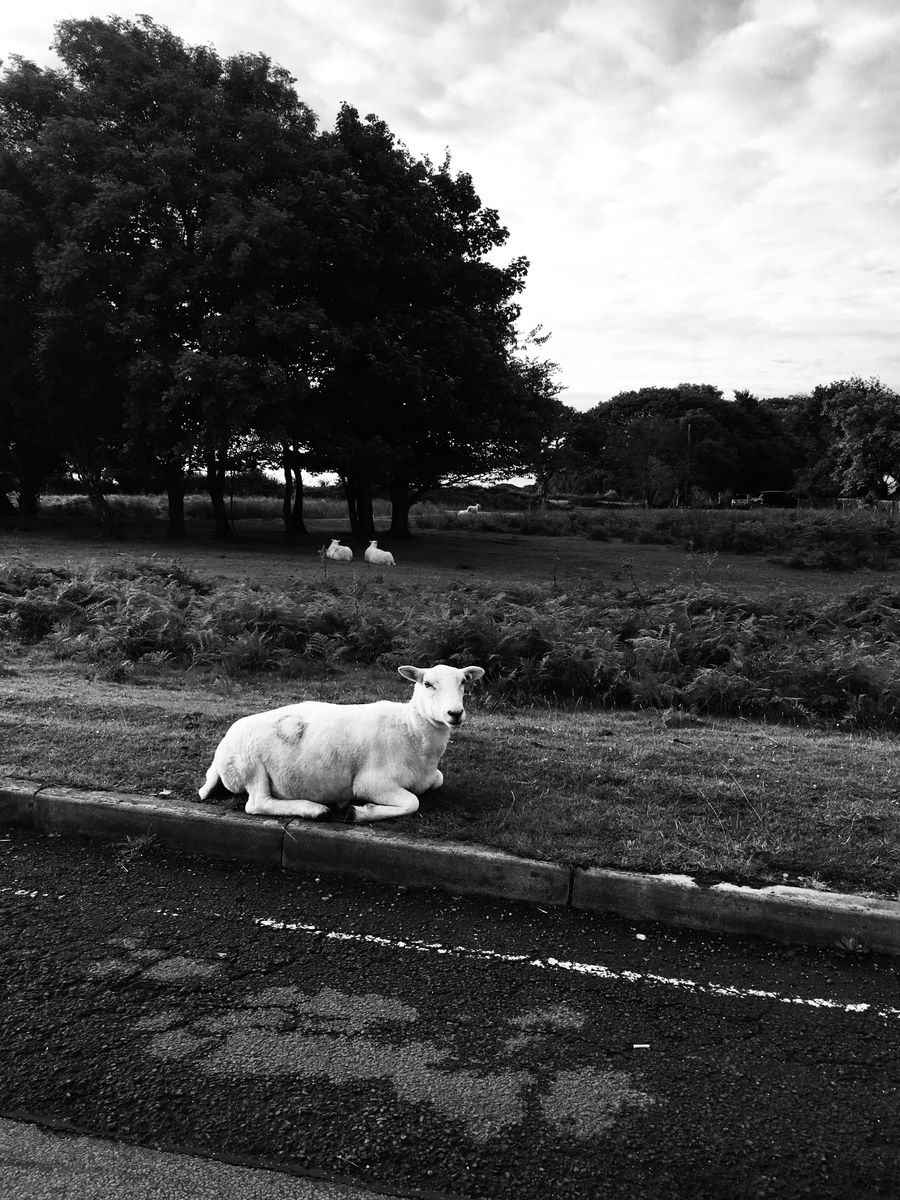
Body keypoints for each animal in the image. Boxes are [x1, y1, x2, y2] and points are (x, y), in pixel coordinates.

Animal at [198, 663, 485, 824]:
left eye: (463, 682)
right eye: (427, 684)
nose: (455, 713)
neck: (409, 729)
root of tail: (220, 751)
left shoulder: (432, 776)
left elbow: (438, 781)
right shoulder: (371, 782)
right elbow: (412, 802)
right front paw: (359, 812)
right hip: (250, 766)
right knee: (258, 803)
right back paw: (314, 809)